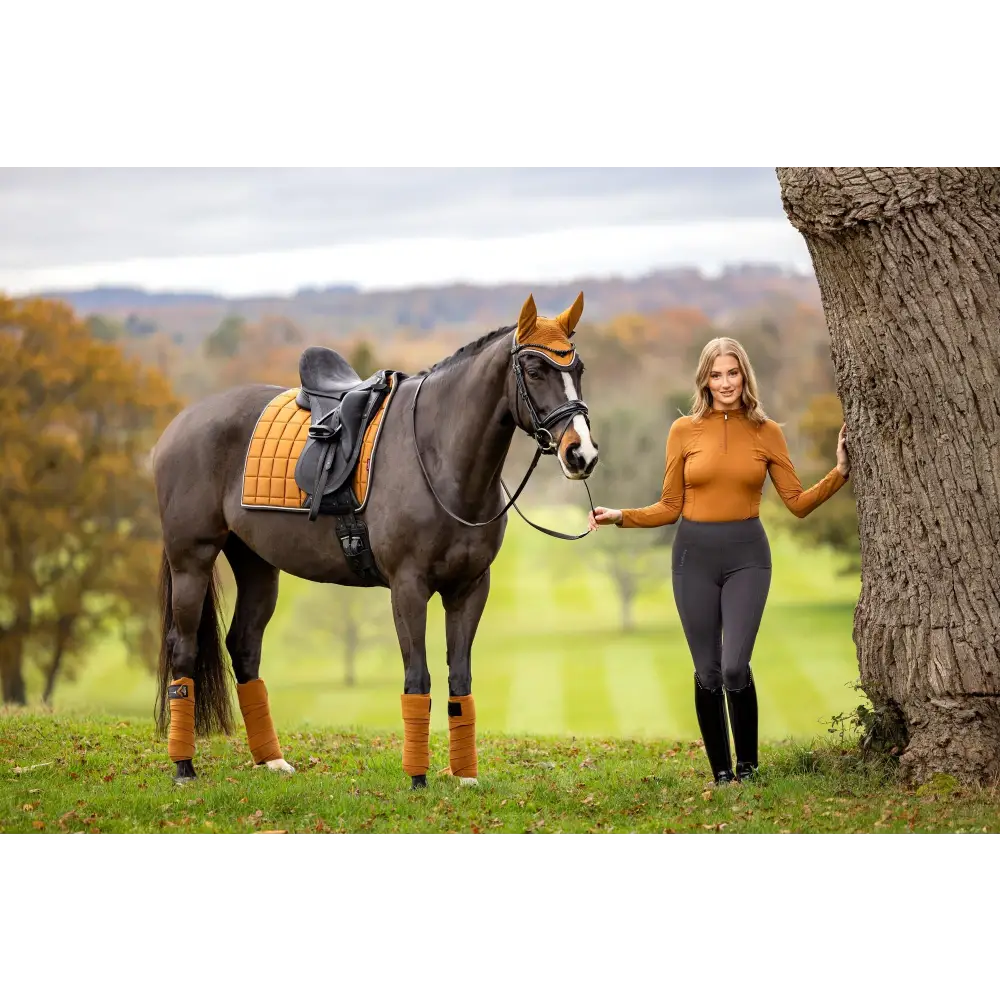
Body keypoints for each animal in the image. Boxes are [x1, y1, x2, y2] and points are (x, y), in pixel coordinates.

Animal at [152, 290, 596, 788]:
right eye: (535, 371)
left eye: (578, 369)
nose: (581, 453)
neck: (439, 456)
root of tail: (183, 421)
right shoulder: (408, 587)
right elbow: (418, 678)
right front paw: (418, 779)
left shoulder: (469, 588)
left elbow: (459, 681)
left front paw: (465, 778)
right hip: (192, 560)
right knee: (183, 650)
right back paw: (184, 767)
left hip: (257, 565)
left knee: (244, 646)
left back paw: (271, 760)